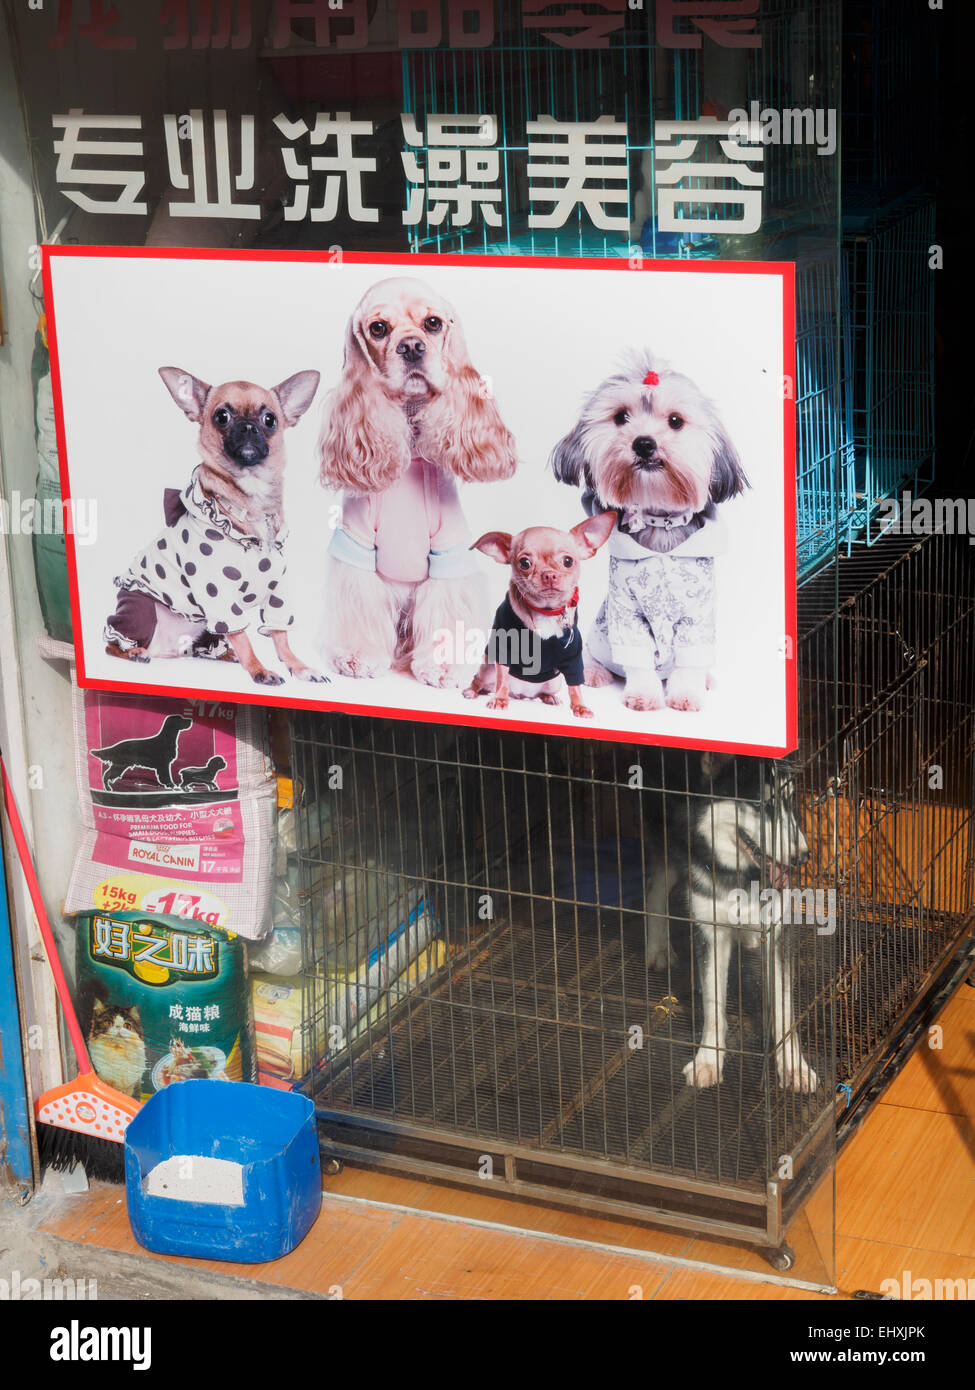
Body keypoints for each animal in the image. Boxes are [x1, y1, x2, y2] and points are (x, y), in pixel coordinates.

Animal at [650, 756, 817, 1089]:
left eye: (791, 801)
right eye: (762, 804)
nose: (803, 857)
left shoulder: (778, 931)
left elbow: (784, 1008)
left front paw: (794, 1067)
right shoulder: (710, 928)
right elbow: (714, 1007)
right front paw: (708, 1060)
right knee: (658, 878)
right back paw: (658, 947)